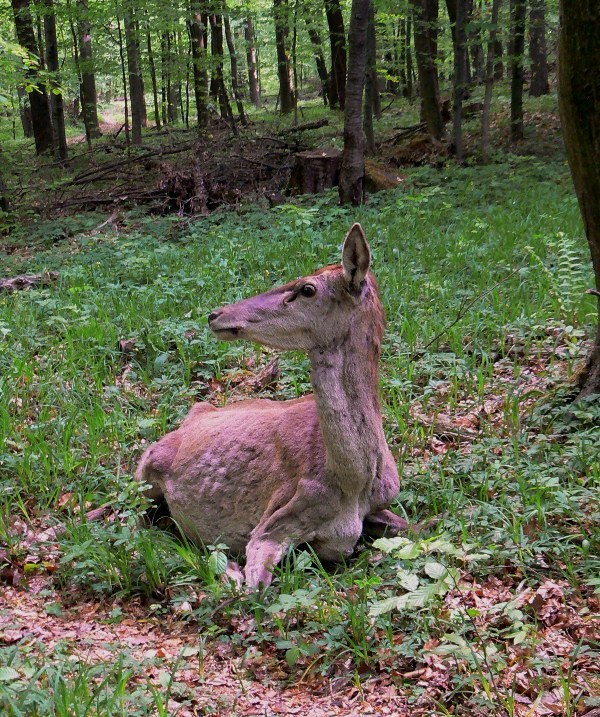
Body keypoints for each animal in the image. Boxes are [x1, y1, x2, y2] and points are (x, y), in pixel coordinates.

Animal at [135, 224, 406, 588]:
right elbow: (254, 587)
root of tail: (195, 412)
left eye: (307, 289)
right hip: (145, 470)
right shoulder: (272, 524)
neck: (353, 483)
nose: (216, 313)